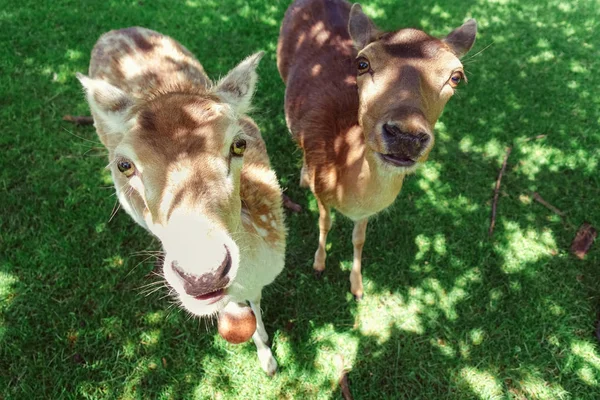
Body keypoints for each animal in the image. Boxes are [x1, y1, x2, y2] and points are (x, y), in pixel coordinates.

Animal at [78, 28, 284, 376]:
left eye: (239, 144)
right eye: (124, 165)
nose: (203, 274)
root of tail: (115, 31)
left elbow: (255, 301)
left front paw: (267, 357)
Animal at [278, 0, 478, 298]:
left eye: (456, 76)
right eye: (362, 63)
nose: (406, 135)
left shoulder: (367, 213)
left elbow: (359, 239)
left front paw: (357, 287)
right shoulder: (321, 192)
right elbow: (324, 222)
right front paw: (318, 265)